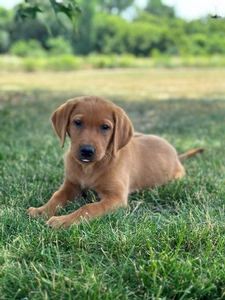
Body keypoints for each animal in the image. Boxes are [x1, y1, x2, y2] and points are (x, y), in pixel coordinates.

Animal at [26, 97, 204, 229]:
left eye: (105, 127)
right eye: (78, 122)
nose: (86, 151)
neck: (89, 168)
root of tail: (176, 155)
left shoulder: (116, 198)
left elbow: (88, 208)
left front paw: (63, 221)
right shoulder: (71, 184)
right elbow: (57, 196)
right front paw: (41, 211)